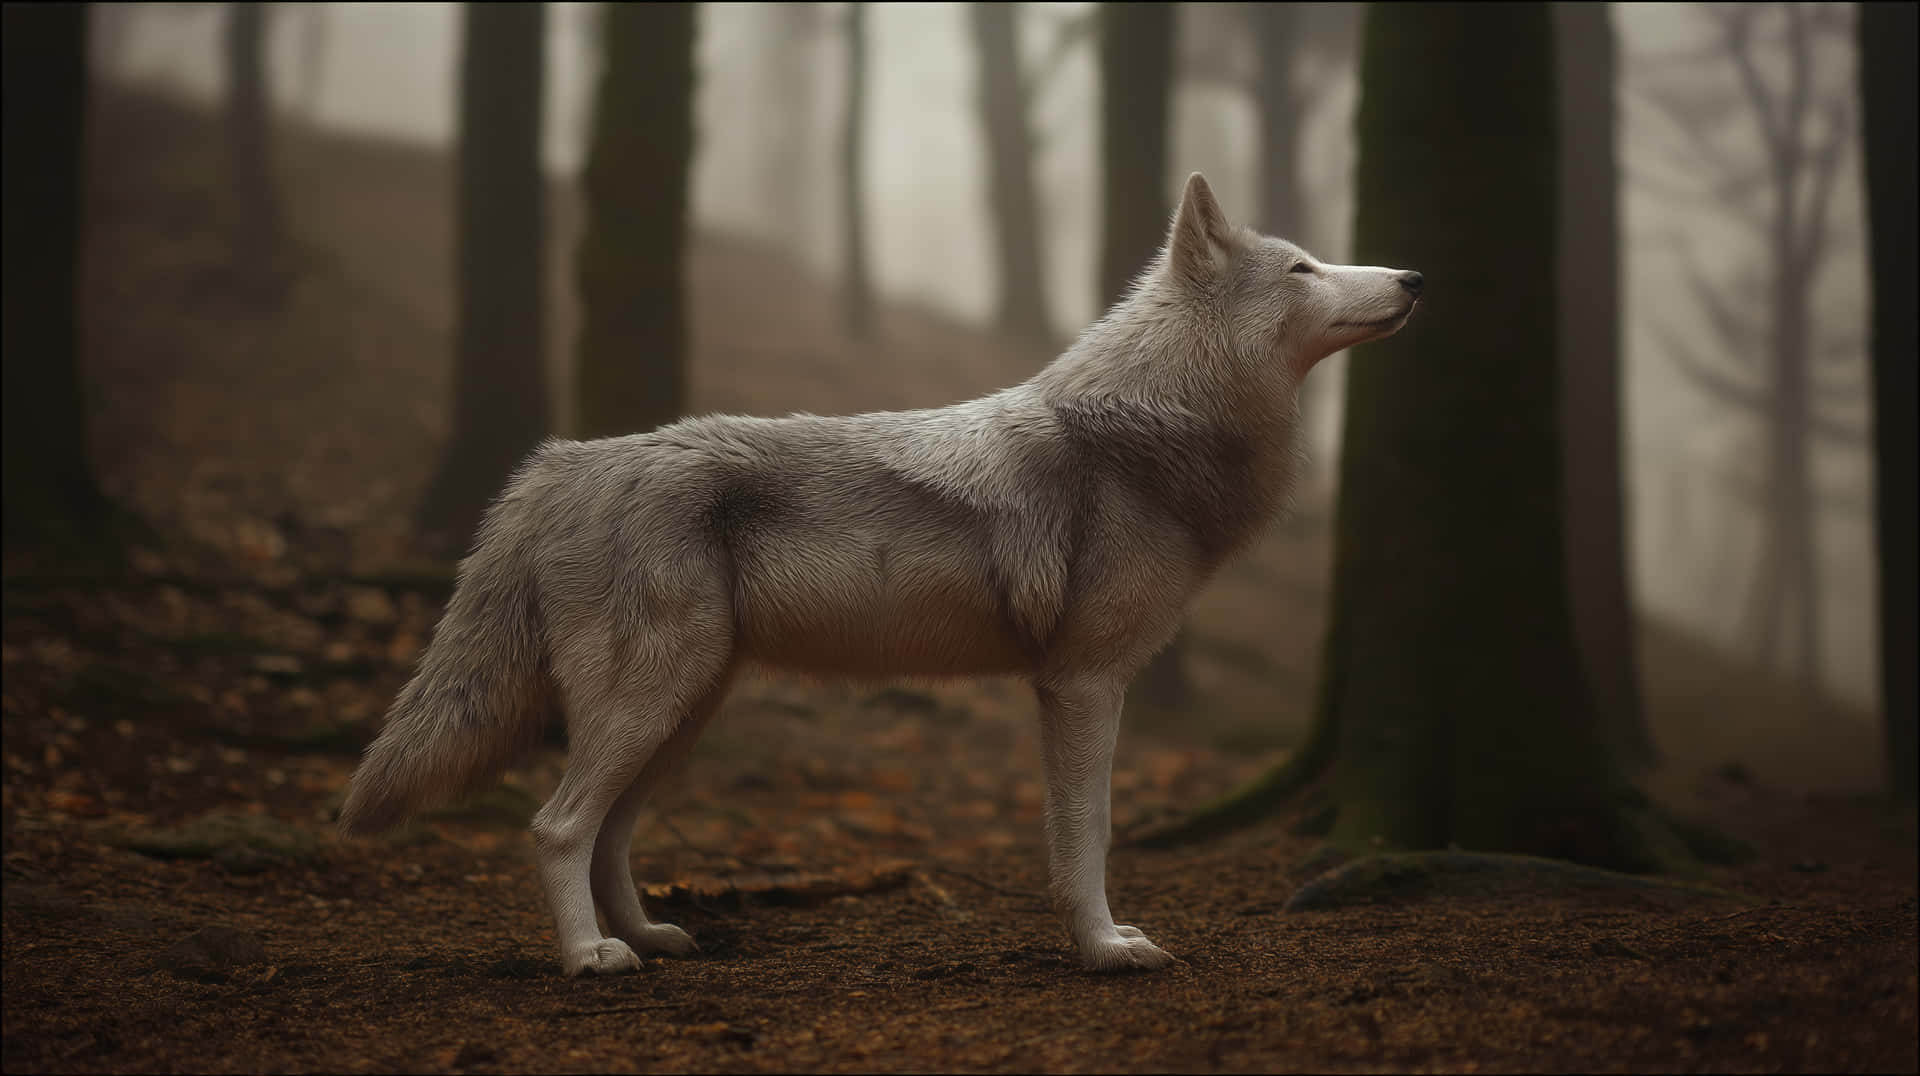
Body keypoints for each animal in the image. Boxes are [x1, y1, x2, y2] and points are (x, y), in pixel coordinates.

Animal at [338, 172, 1421, 976]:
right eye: (1304, 265)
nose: (1413, 272)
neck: (1149, 431)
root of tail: (559, 463)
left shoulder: (1076, 684)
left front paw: (1100, 939)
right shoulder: (1082, 683)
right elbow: (1090, 833)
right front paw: (1105, 948)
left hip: (683, 710)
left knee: (609, 833)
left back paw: (648, 935)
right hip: (653, 703)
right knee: (557, 825)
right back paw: (592, 957)